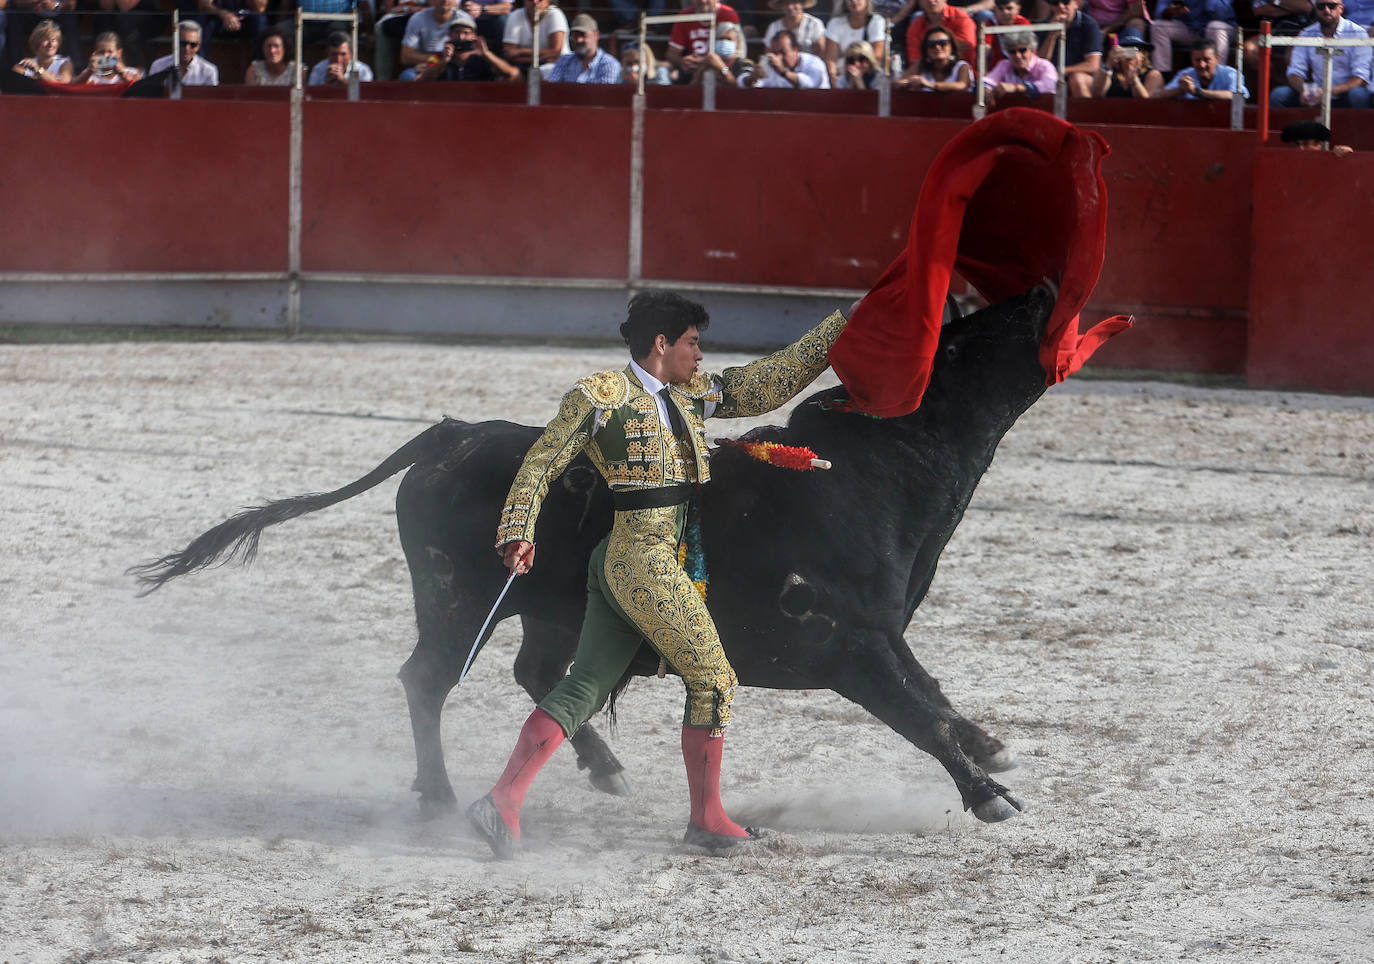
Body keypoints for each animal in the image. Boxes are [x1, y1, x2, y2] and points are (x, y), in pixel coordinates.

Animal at [133, 287, 1055, 829]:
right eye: (973, 336)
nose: (1040, 289)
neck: (868, 469)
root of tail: (454, 434)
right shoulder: (846, 642)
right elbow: (921, 712)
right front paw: (990, 794)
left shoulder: (880, 633)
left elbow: (936, 697)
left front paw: (993, 753)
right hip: (459, 603)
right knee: (429, 678)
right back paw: (440, 796)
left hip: (546, 609)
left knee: (539, 677)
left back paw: (603, 768)